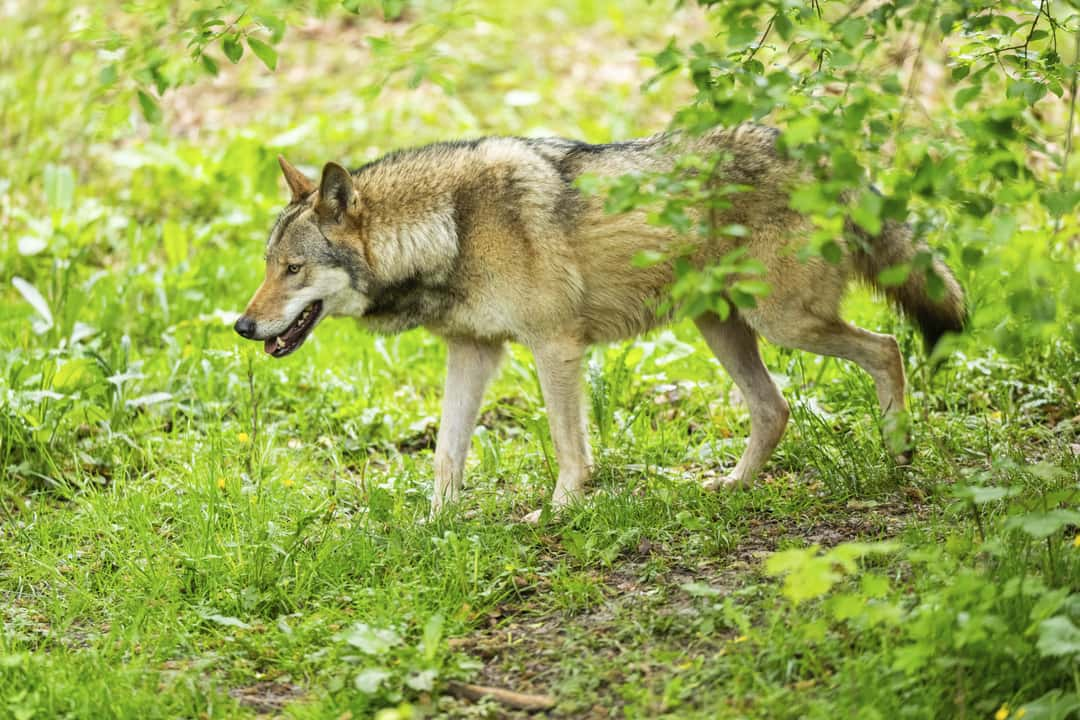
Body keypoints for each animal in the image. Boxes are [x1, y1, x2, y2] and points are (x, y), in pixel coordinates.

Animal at [234, 126, 963, 520]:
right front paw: (434, 524)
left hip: (783, 322)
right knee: (775, 408)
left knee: (888, 347)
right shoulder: (473, 351)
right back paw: (731, 486)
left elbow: (569, 448)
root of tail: (814, 149)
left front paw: (555, 512)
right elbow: (446, 453)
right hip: (722, 328)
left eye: (294, 269)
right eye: (268, 265)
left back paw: (899, 455)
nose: (242, 325)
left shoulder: (553, 346)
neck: (452, 228)